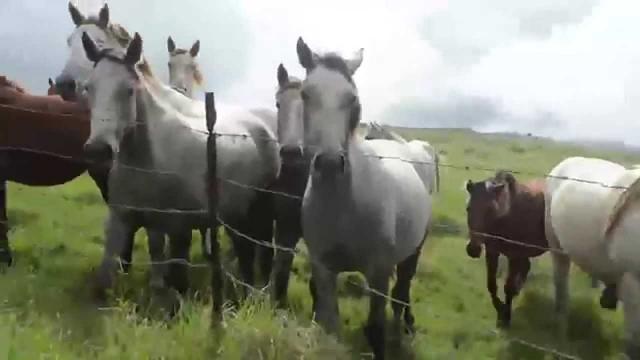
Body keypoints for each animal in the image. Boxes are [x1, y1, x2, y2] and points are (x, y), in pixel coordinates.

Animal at [79, 32, 278, 310]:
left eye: (129, 90)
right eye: (89, 88)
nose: (98, 150)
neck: (145, 160)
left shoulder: (175, 227)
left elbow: (173, 277)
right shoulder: (122, 219)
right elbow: (108, 275)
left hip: (258, 212)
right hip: (235, 215)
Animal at [296, 38, 430, 358]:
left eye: (352, 98)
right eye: (306, 94)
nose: (330, 164)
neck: (344, 205)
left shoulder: (378, 272)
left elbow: (375, 329)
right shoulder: (323, 269)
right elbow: (330, 323)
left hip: (414, 249)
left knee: (403, 289)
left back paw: (405, 324)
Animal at [462, 170, 548, 328]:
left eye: (490, 210)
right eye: (468, 208)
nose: (473, 249)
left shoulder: (514, 256)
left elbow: (508, 287)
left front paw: (506, 316)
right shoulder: (492, 252)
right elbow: (491, 284)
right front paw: (500, 309)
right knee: (526, 267)